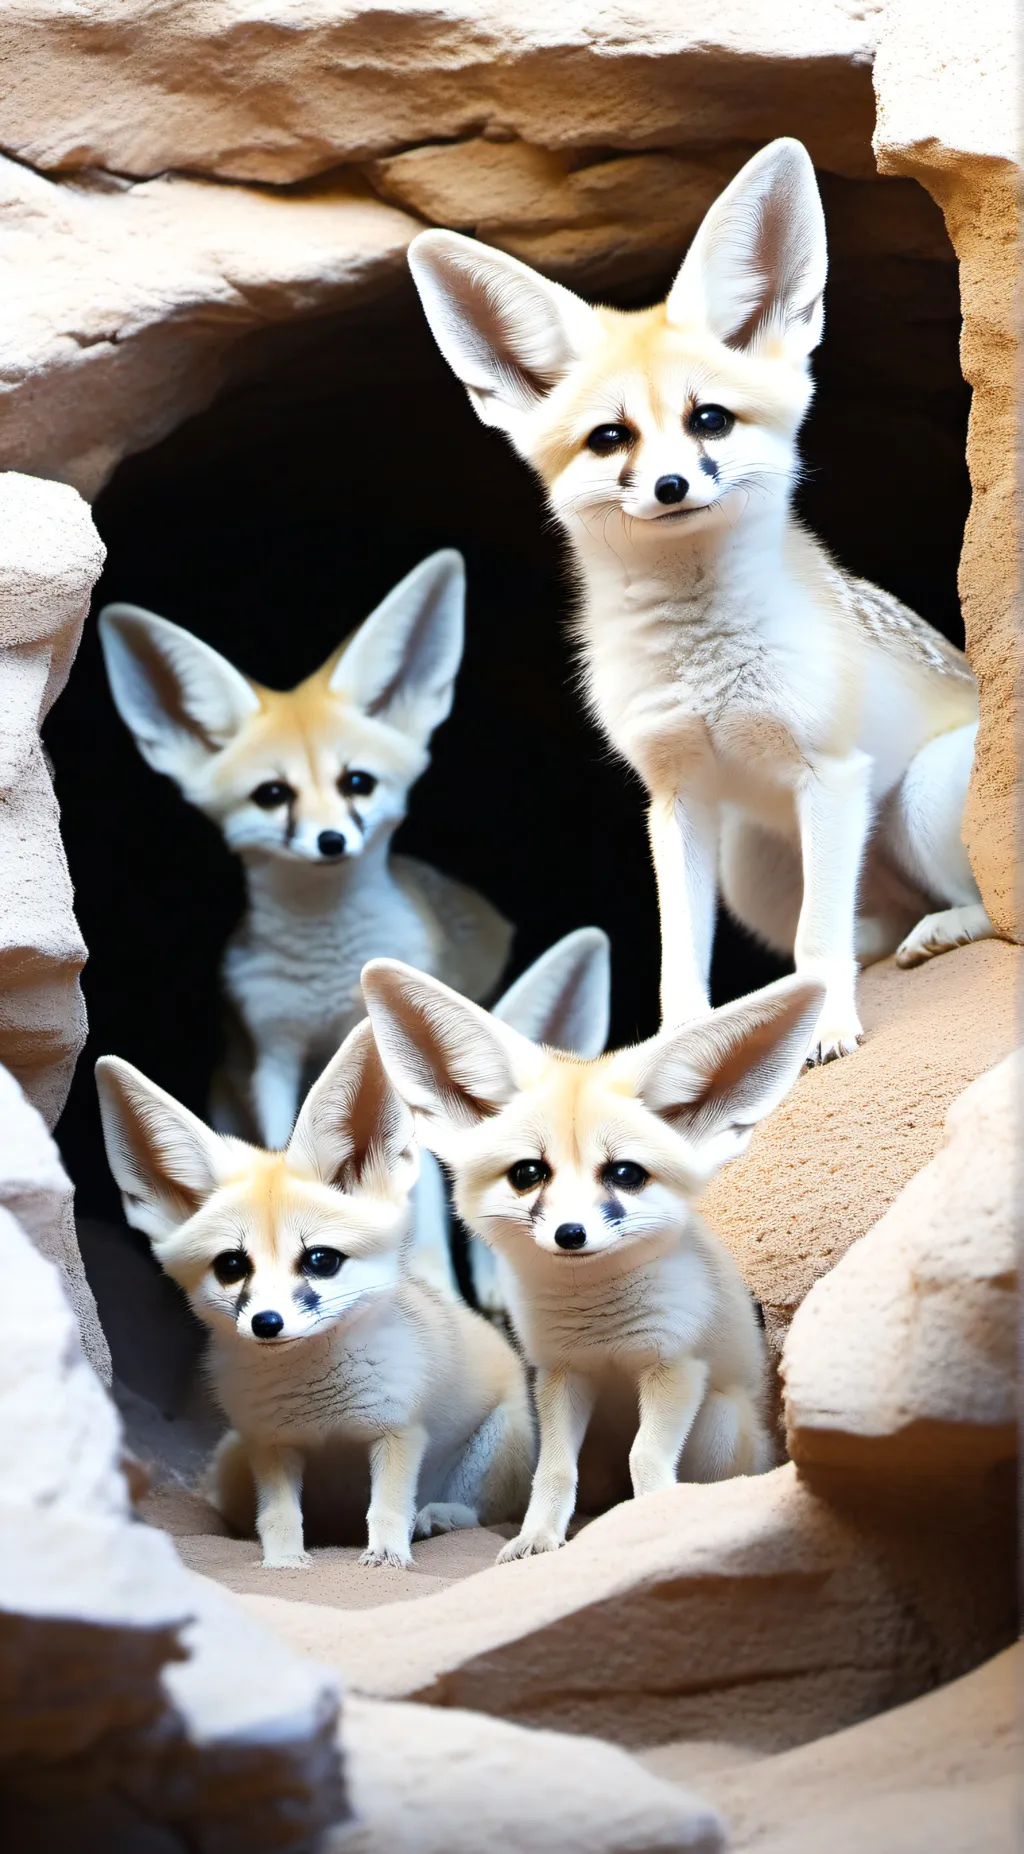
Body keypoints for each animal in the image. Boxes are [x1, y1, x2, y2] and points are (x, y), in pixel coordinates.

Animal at [94, 1019, 534, 1571]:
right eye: (231, 1266)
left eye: (321, 1261)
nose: (267, 1323)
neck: (317, 1404)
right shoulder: (269, 1444)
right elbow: (279, 1516)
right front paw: (284, 1562)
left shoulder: (399, 1431)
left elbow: (388, 1508)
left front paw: (387, 1557)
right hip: (232, 1464)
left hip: (497, 1446)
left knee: (483, 1512)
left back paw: (440, 1516)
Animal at [98, 551, 511, 1150]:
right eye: (273, 795)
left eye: (357, 783)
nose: (331, 840)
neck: (326, 974)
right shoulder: (273, 1054)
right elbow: (281, 1144)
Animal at [362, 956, 825, 1560]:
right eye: (529, 1174)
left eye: (625, 1174)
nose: (571, 1234)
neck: (600, 1329)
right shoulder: (562, 1374)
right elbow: (555, 1472)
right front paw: (538, 1537)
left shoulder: (675, 1366)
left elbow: (646, 1458)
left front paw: (653, 1522)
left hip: (721, 1419)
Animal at [407, 137, 992, 1064]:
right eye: (612, 438)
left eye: (709, 420)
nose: (672, 486)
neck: (705, 668)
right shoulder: (676, 796)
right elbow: (682, 962)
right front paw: (682, 1046)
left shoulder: (832, 773)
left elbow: (820, 944)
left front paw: (828, 1026)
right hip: (755, 864)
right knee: (858, 925)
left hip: (920, 801)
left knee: (959, 909)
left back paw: (943, 928)